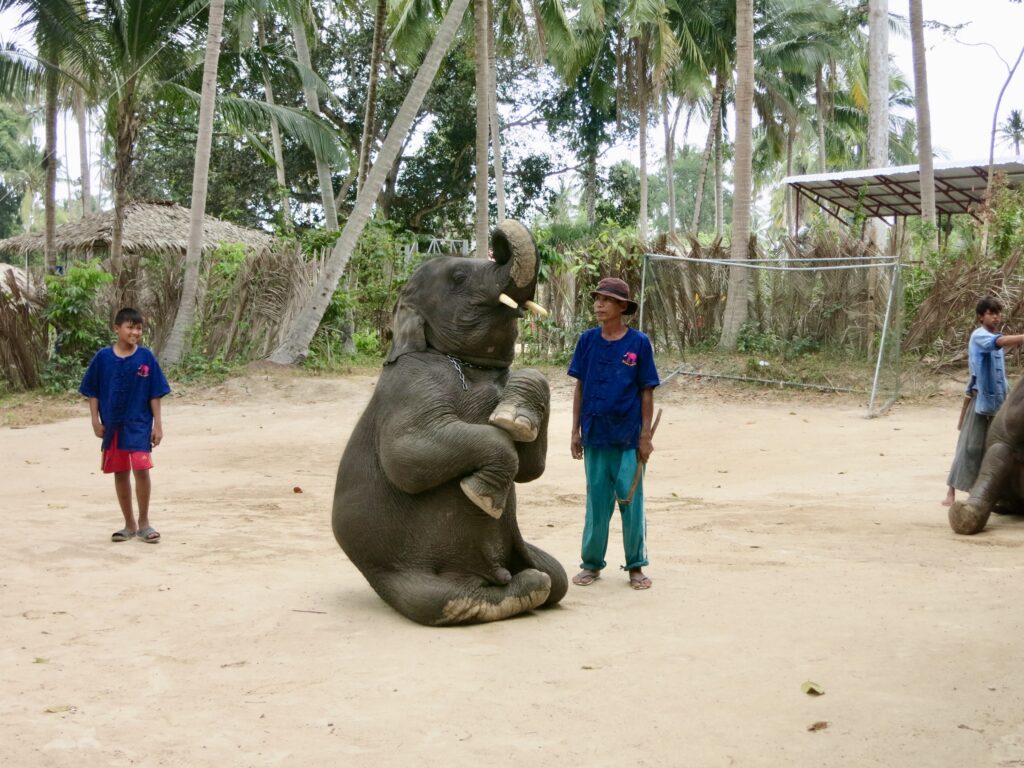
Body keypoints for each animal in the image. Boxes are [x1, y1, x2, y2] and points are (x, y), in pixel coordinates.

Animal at [331, 218, 569, 626]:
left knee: (559, 577)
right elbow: (408, 457)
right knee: (442, 598)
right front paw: (482, 496)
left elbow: (531, 467)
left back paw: (530, 582)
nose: (498, 241)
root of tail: (491, 572)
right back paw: (519, 590)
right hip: (397, 576)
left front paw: (513, 420)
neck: (466, 364)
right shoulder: (410, 385)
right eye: (458, 277)